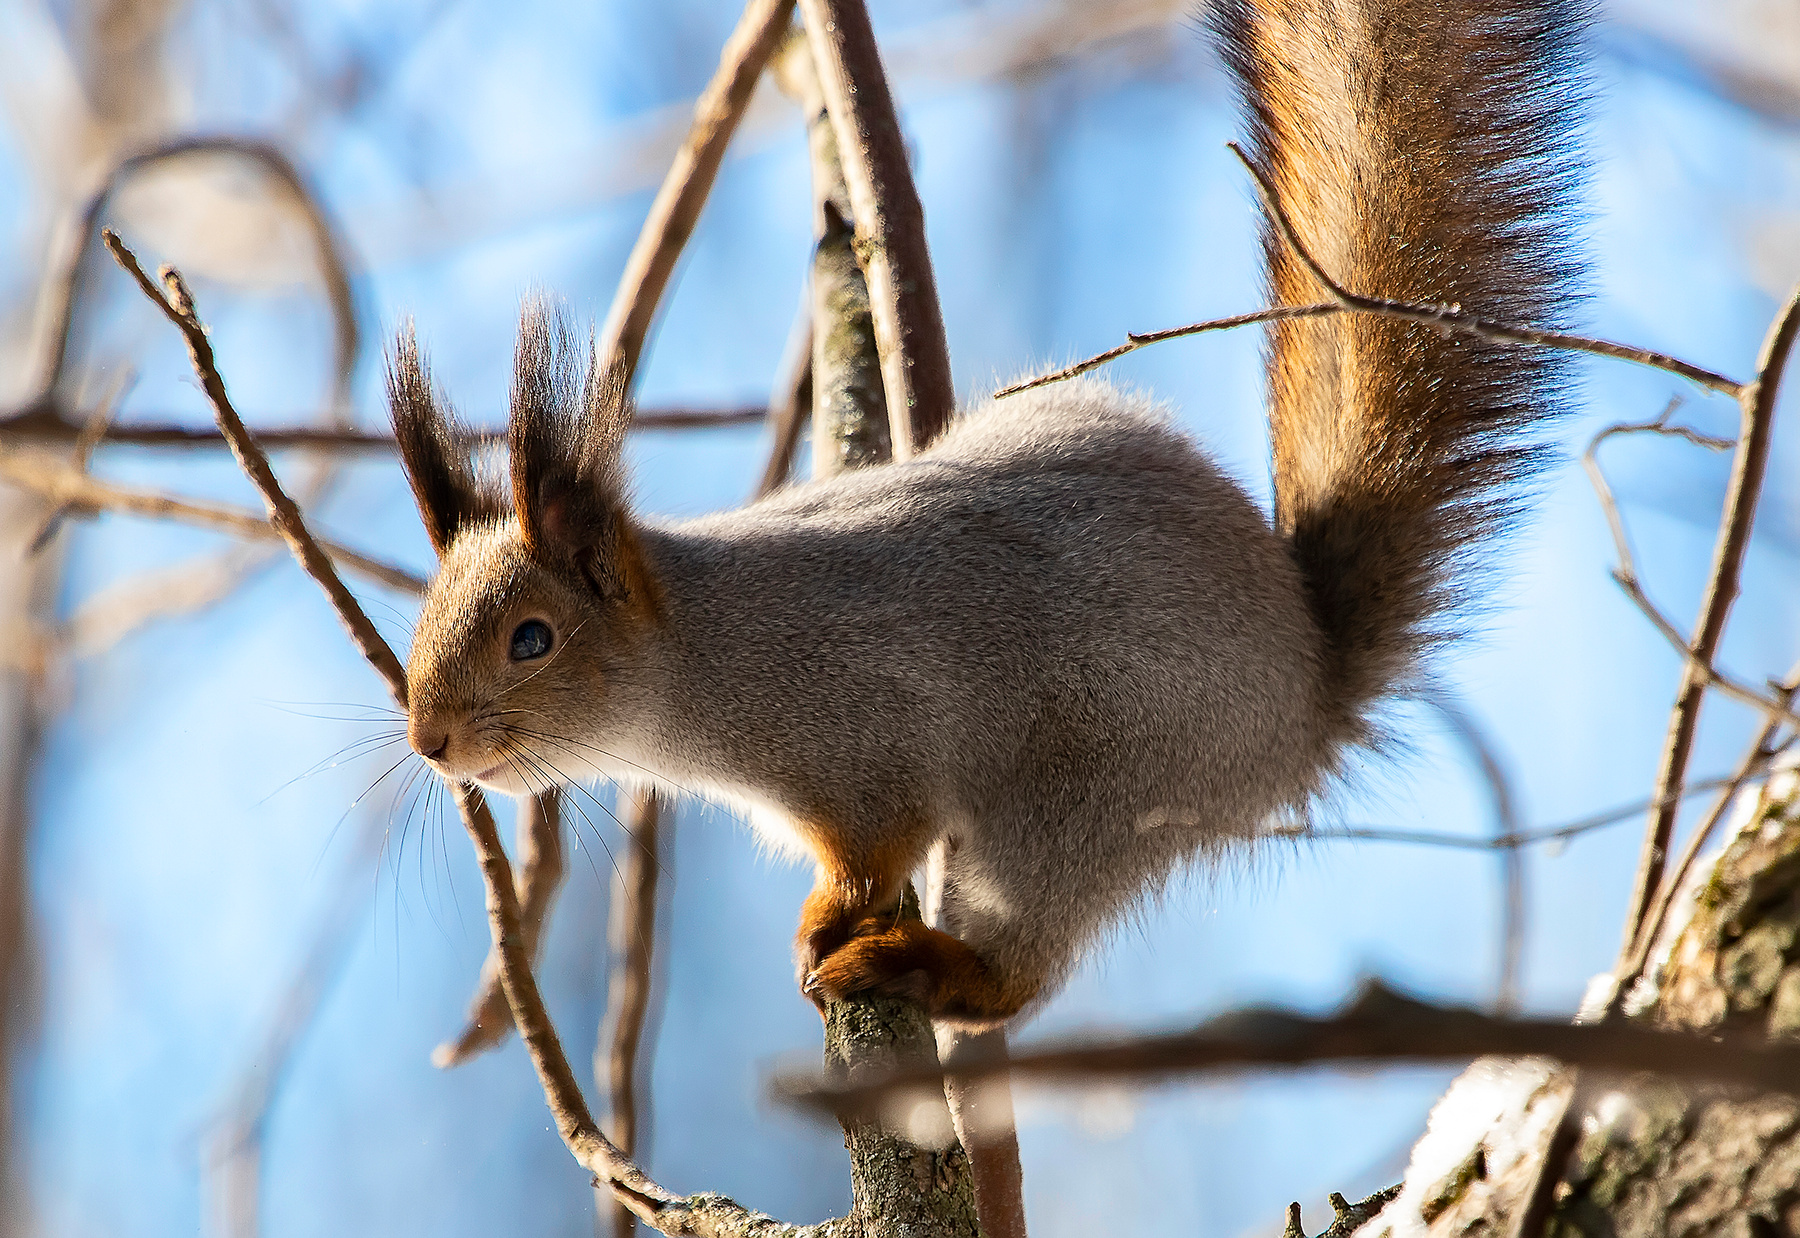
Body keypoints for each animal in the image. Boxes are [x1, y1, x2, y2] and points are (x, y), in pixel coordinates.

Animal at [390, 0, 1583, 1029]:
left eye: (532, 640)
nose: (431, 742)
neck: (703, 654)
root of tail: (1310, 689)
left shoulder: (865, 729)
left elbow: (877, 842)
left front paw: (833, 914)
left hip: (1092, 794)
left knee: (1017, 967)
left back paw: (925, 964)